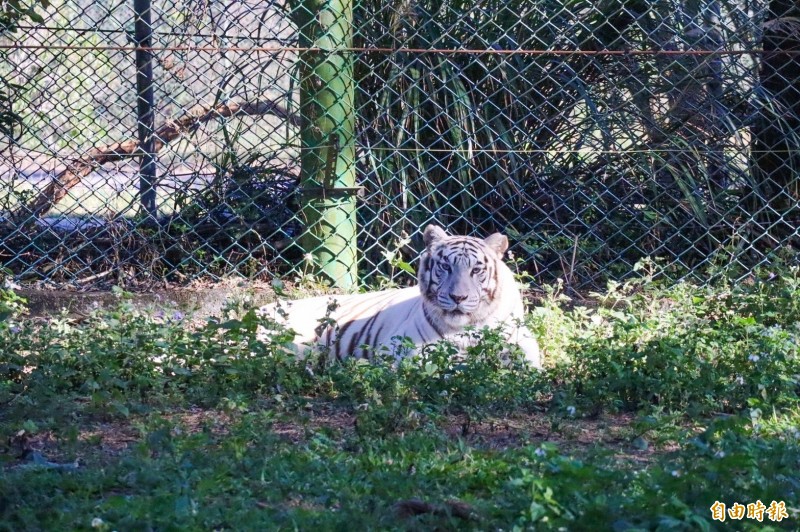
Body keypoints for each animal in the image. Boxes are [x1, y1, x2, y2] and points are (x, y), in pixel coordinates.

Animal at [258, 224, 541, 367]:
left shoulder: (524, 342)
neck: (468, 328)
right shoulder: (401, 349)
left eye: (476, 270)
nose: (458, 298)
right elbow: (438, 363)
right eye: (446, 266)